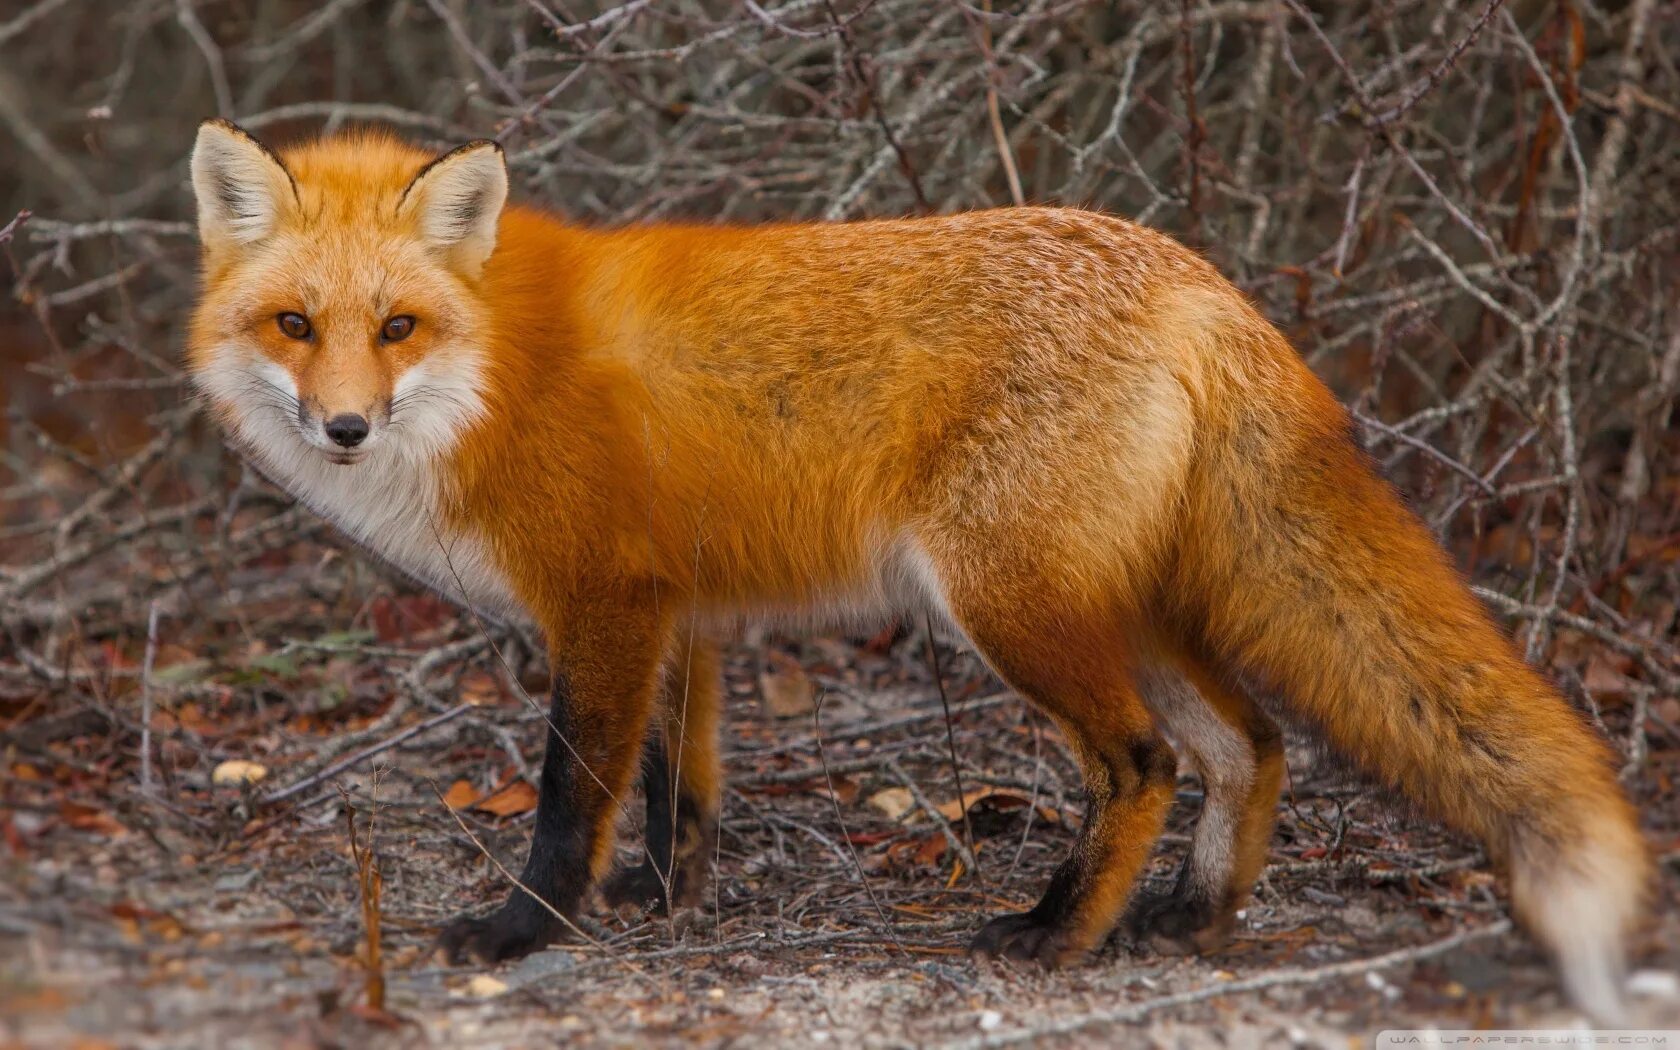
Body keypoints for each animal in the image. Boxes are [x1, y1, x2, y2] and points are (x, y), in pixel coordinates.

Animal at [187, 118, 1653, 1021]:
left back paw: (1058, 935)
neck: (495, 369)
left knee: (1146, 762)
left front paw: (523, 930)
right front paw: (668, 900)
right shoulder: (679, 616)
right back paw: (1191, 919)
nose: (343, 427)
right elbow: (679, 790)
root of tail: (1196, 275)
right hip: (1123, 604)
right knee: (1253, 744)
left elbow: (570, 796)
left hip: (1008, 605)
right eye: (296, 325)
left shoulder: (603, 604)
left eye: (397, 327)